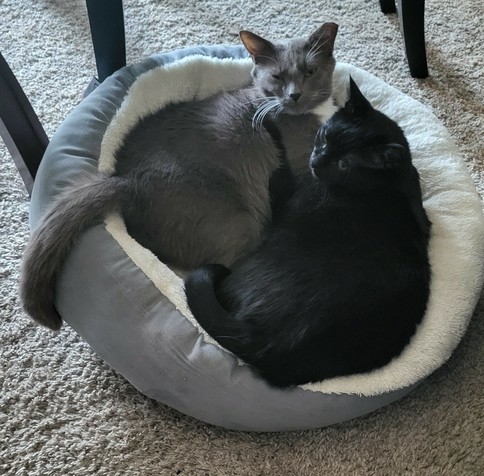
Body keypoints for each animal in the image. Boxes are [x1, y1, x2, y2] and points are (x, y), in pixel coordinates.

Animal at [185, 79, 432, 386]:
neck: (384, 184)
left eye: (344, 164)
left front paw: (270, 123)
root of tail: (266, 343)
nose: (316, 161)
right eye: (325, 138)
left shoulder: (287, 194)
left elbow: (279, 160)